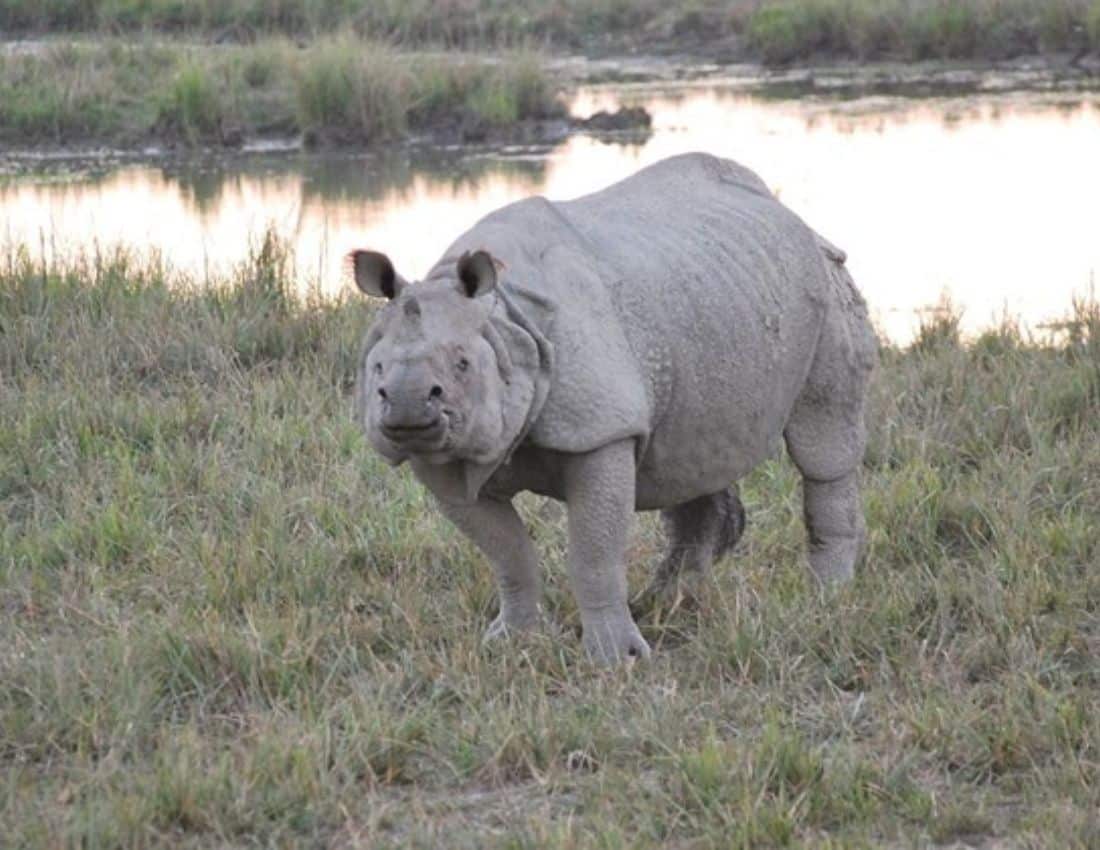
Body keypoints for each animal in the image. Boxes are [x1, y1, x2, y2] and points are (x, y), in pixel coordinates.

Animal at [352, 153, 876, 664]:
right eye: (375, 370)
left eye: (462, 364)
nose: (406, 407)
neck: (504, 327)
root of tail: (786, 212)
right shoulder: (447, 462)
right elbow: (507, 553)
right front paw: (510, 642)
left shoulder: (601, 431)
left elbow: (593, 553)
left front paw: (615, 660)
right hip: (703, 297)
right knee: (688, 456)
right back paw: (666, 602)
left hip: (823, 279)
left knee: (823, 441)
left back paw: (827, 598)